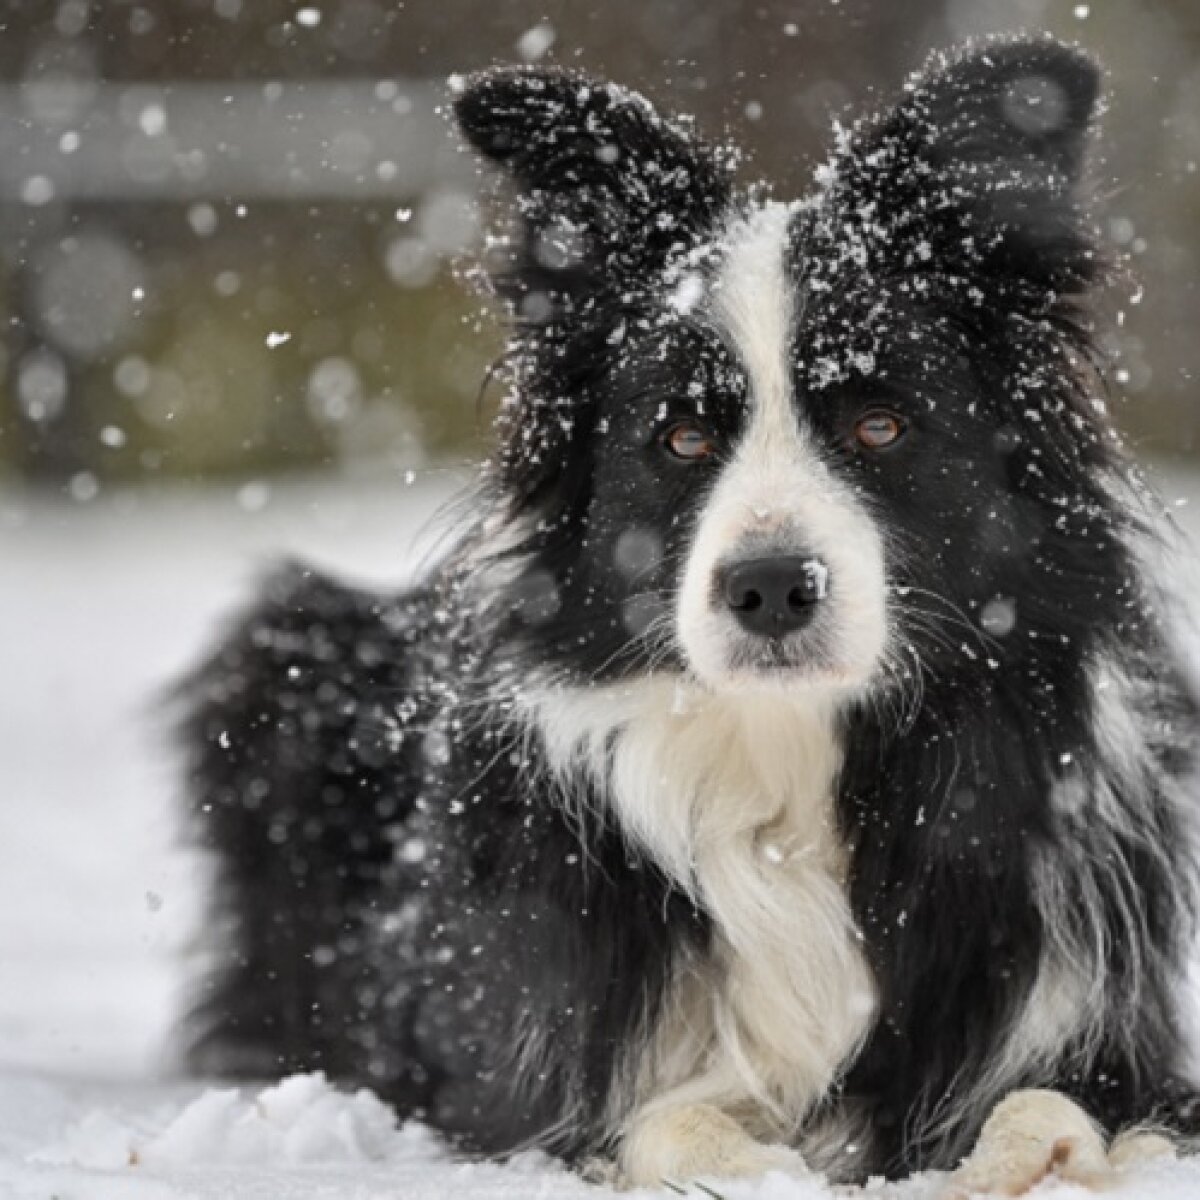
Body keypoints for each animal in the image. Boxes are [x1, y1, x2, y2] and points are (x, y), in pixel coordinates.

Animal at [175, 35, 1200, 1190]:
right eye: (682, 437)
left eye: (881, 425)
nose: (770, 588)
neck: (789, 758)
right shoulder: (529, 1084)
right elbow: (669, 1121)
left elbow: (1050, 1099)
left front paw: (1036, 1153)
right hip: (287, 658)